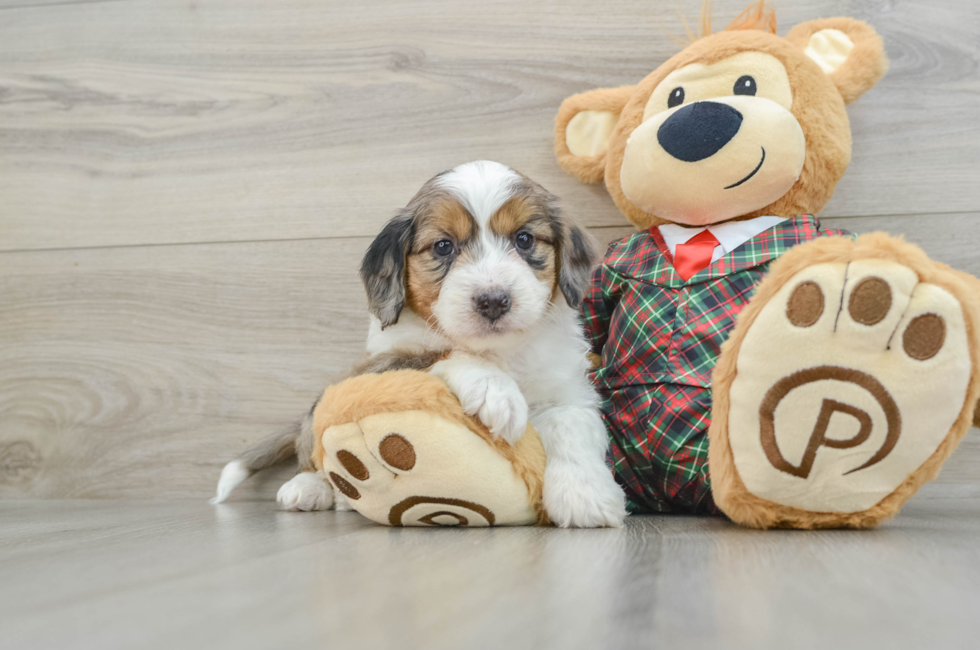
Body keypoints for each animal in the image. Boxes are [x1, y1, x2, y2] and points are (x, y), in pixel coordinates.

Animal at [213, 158, 628, 528]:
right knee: (310, 447)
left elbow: (572, 425)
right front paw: (495, 390)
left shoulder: (568, 389)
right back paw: (309, 488)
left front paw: (585, 495)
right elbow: (440, 351)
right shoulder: (379, 363)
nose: (493, 300)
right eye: (443, 246)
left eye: (524, 239)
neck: (498, 350)